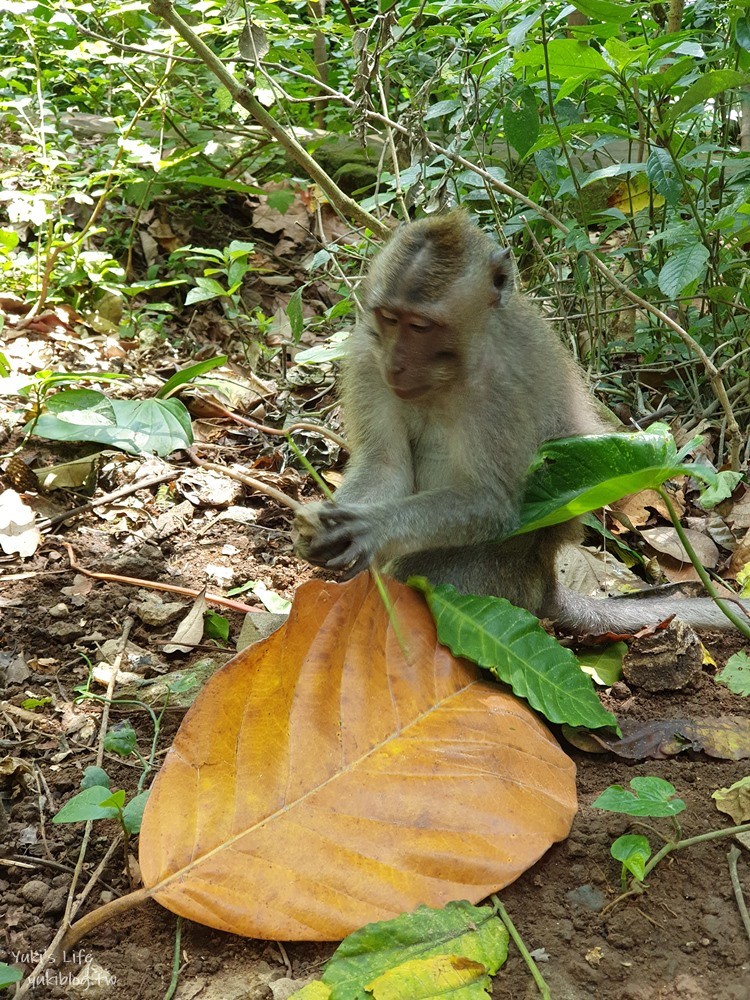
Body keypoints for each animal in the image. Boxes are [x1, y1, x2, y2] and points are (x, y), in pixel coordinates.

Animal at [296, 211, 748, 632]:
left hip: (487, 575)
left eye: (421, 326)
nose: (397, 363)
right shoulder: (368, 360)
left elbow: (490, 503)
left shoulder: (502, 387)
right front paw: (323, 529)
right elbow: (385, 465)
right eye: (389, 318)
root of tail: (542, 579)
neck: (457, 364)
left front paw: (372, 528)